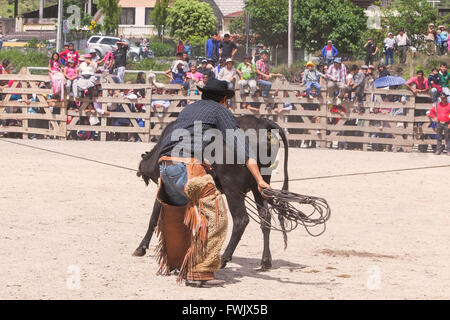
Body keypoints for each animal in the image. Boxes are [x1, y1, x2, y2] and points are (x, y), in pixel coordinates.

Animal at [134, 115, 288, 270]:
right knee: (265, 218)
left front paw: (141, 247)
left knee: (241, 220)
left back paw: (224, 258)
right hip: (260, 187)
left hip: (233, 190)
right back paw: (266, 260)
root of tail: (263, 123)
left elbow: (154, 217)